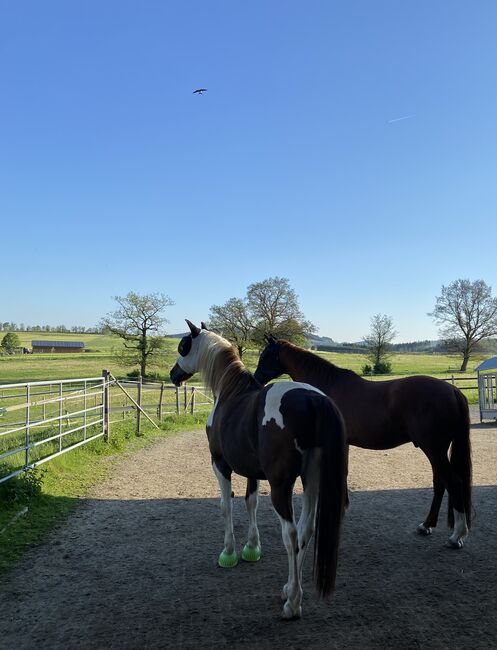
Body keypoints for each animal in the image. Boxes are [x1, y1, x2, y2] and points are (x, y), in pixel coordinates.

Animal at [169, 318, 346, 616]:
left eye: (184, 345)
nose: (173, 375)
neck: (230, 392)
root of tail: (314, 399)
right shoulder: (253, 471)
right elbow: (250, 502)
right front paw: (251, 548)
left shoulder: (219, 464)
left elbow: (226, 505)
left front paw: (229, 553)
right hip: (312, 480)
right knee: (306, 530)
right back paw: (289, 588)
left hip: (281, 486)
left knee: (291, 533)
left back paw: (293, 602)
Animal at [254, 334, 470, 548]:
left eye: (265, 356)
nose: (256, 380)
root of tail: (452, 390)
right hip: (436, 450)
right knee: (440, 483)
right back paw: (426, 525)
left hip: (434, 449)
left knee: (453, 482)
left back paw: (456, 536)